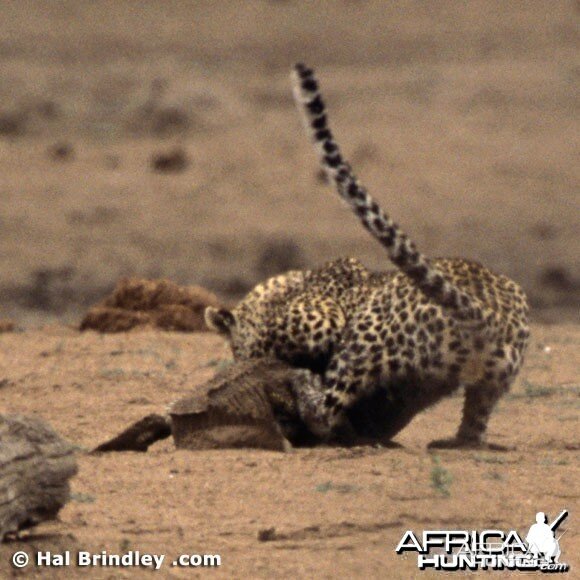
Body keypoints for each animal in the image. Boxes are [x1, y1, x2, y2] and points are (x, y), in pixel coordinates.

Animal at [205, 62, 532, 448]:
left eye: (234, 350)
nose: (239, 359)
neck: (284, 287)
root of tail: (489, 314)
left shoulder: (321, 320)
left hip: (364, 339)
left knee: (325, 410)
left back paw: (306, 385)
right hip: (493, 380)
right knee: (475, 423)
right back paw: (455, 441)